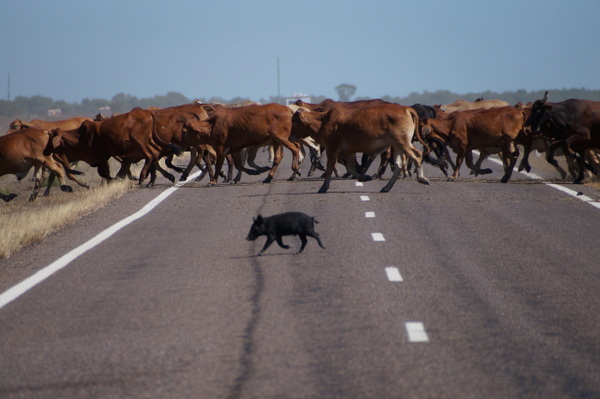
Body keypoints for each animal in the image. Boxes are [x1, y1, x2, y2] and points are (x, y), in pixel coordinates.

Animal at [292, 101, 428, 192]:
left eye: (293, 120)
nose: (290, 137)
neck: (323, 121)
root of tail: (405, 108)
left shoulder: (332, 148)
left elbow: (330, 167)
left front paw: (324, 187)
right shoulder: (349, 151)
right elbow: (350, 168)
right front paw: (364, 176)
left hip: (402, 143)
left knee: (417, 155)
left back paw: (421, 178)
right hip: (397, 146)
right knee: (399, 165)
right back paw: (386, 187)